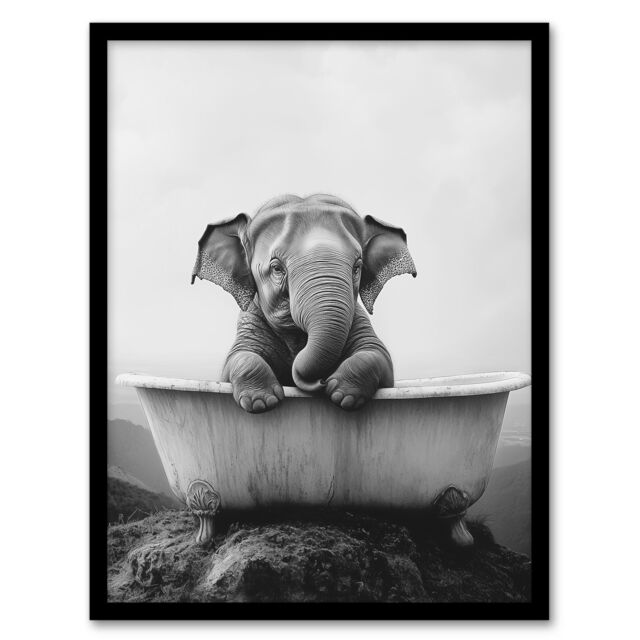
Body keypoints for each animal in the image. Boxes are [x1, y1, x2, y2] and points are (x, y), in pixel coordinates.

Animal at [191, 194, 417, 413]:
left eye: (357, 267)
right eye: (277, 268)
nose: (322, 381)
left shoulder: (358, 319)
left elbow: (377, 354)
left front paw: (342, 394)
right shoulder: (250, 321)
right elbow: (238, 357)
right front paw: (261, 402)